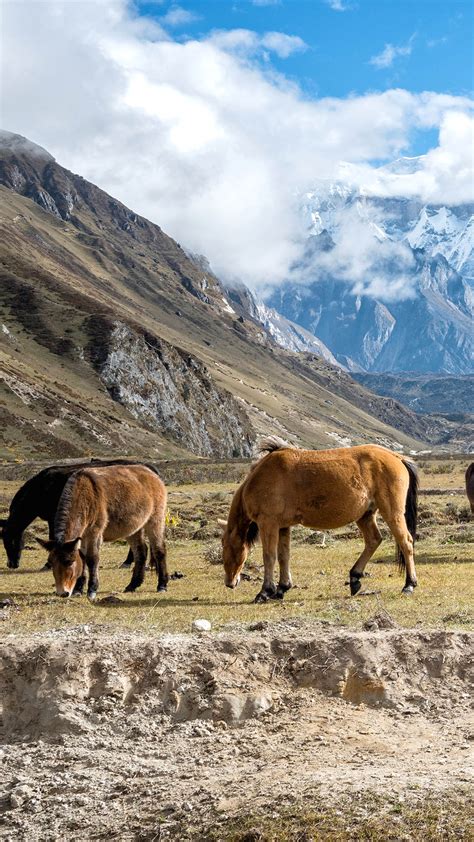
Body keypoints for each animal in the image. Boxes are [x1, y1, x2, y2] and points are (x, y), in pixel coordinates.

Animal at [0, 456, 161, 568]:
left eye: (9, 539)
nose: (11, 564)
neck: (41, 488)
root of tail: (149, 468)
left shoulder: (53, 517)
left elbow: (53, 536)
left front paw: (48, 564)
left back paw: (128, 562)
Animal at [37, 466, 168, 596]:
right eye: (51, 563)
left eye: (69, 562)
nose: (62, 592)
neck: (84, 494)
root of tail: (152, 474)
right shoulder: (82, 536)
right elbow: (82, 558)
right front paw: (78, 589)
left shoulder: (94, 533)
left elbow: (92, 559)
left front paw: (92, 589)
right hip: (134, 528)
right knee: (141, 552)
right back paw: (132, 585)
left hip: (155, 520)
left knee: (159, 550)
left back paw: (162, 585)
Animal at [222, 436, 418, 600]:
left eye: (225, 548)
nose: (229, 583)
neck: (260, 478)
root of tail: (396, 457)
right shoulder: (283, 526)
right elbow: (284, 555)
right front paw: (282, 588)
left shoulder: (268, 523)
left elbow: (269, 556)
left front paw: (265, 592)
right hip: (365, 516)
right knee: (374, 540)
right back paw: (354, 578)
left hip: (392, 513)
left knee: (406, 542)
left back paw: (409, 585)